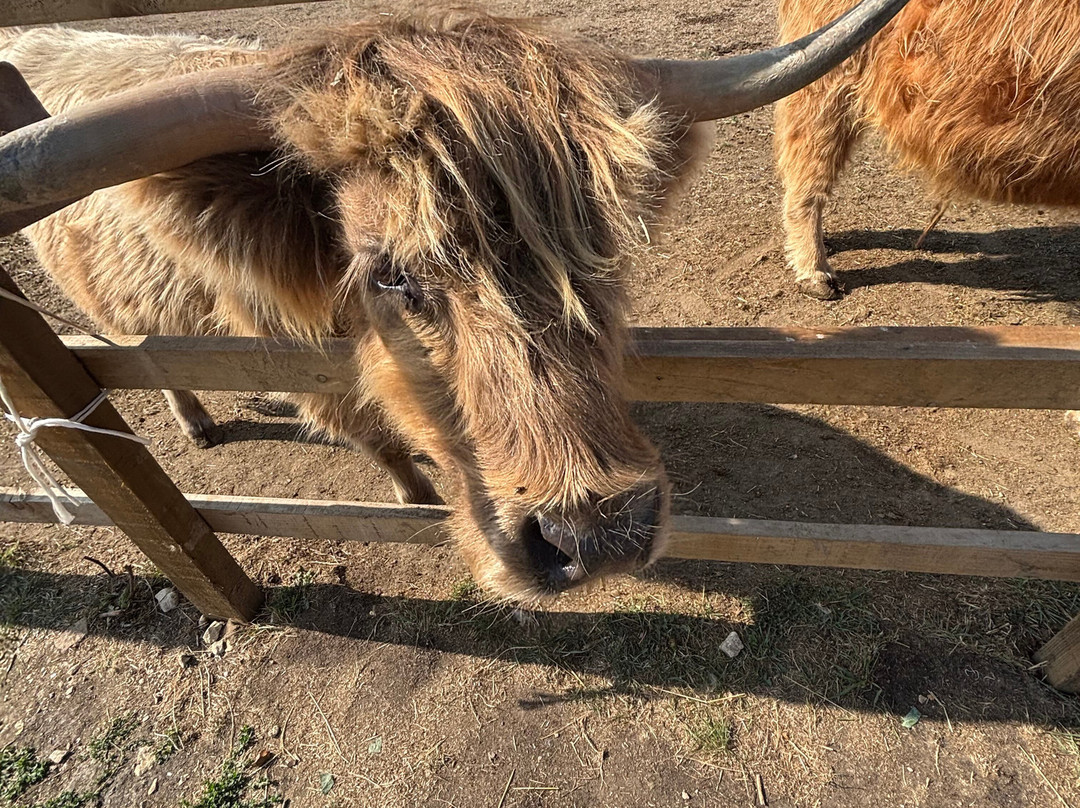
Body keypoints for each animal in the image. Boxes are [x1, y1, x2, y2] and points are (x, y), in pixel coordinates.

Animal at [0, 1, 909, 603]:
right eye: (390, 273)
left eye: (599, 245)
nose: (595, 534)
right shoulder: (308, 372)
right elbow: (374, 437)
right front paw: (415, 492)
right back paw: (197, 422)